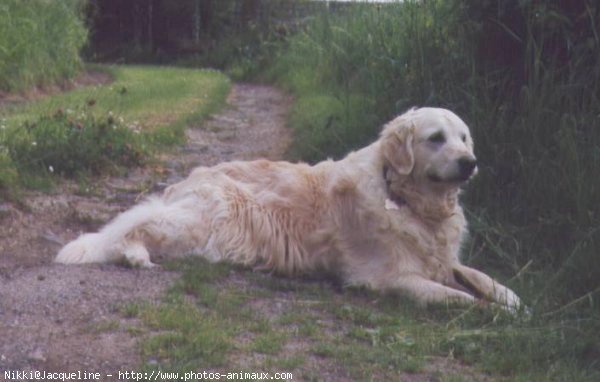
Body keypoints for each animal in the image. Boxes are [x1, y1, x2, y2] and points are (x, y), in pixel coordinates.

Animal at [58, 106, 524, 312]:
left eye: (463, 137)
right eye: (435, 138)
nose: (470, 162)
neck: (408, 199)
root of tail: (187, 180)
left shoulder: (440, 260)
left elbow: (478, 277)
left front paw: (512, 299)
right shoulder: (390, 278)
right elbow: (459, 298)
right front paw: (496, 312)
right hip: (207, 222)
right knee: (129, 229)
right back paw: (134, 255)